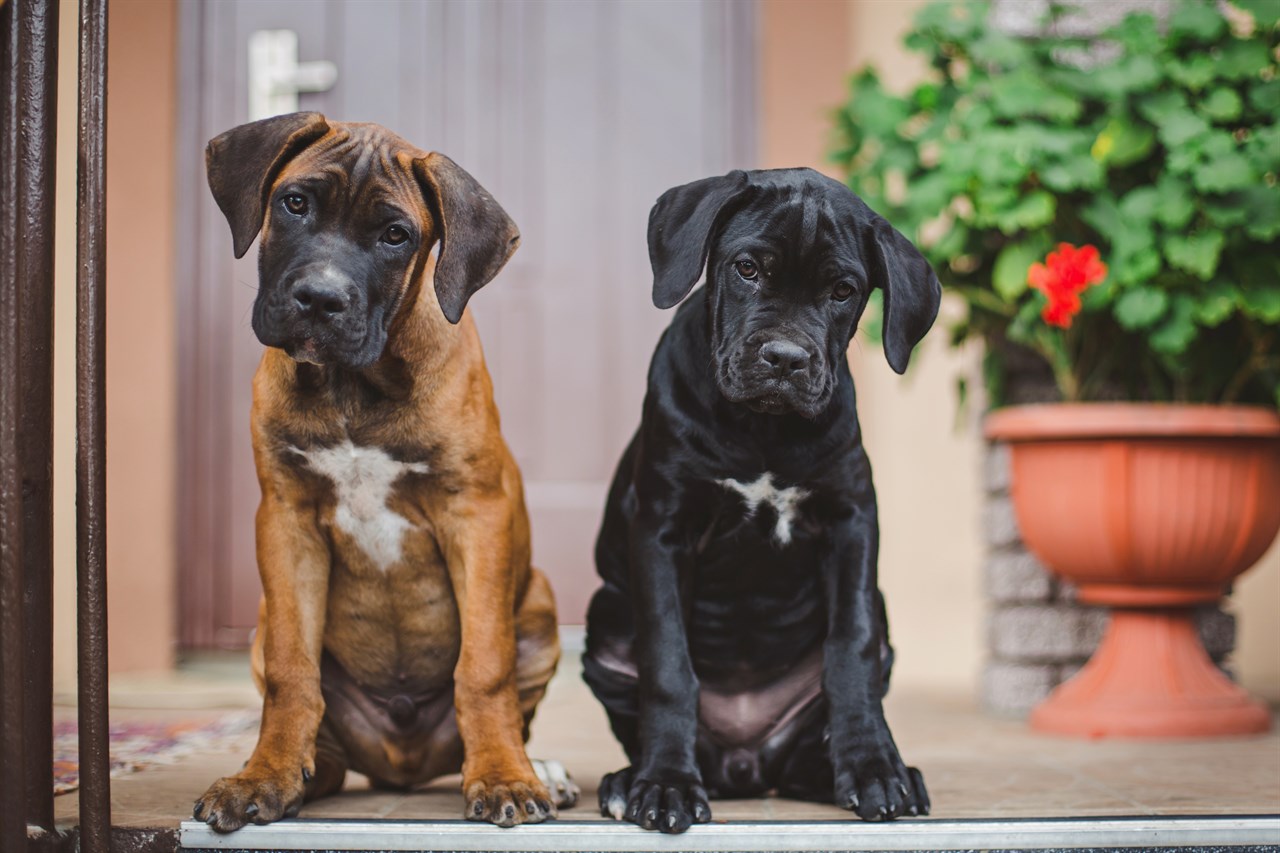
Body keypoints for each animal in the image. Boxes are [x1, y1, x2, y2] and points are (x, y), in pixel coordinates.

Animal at [193, 114, 576, 829]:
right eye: (294, 203)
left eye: (396, 236)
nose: (320, 299)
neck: (353, 386)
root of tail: (403, 765)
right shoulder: (285, 521)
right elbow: (292, 671)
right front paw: (263, 776)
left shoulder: (475, 515)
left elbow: (484, 668)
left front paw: (505, 778)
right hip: (261, 623)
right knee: (322, 737)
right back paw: (299, 775)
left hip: (537, 604)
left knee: (509, 703)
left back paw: (536, 766)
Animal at [583, 166, 942, 829]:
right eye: (747, 268)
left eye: (843, 290)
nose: (786, 359)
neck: (763, 429)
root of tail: (746, 766)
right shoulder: (662, 529)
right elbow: (668, 663)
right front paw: (666, 784)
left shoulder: (852, 521)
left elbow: (850, 647)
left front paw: (875, 769)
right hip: (607, 621)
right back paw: (630, 780)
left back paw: (853, 772)